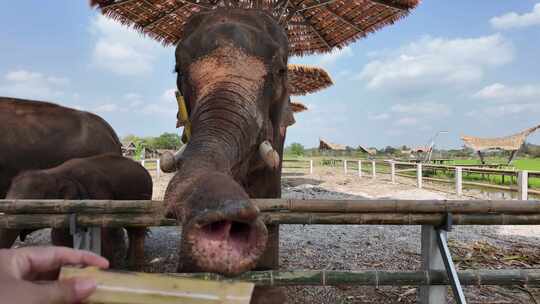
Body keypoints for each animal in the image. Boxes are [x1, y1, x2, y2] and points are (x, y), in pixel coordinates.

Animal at [2, 154, 154, 268]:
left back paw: (135, 265)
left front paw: (107, 267)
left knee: (137, 229)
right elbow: (59, 235)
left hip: (143, 197)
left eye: (28, 208)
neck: (55, 173)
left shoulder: (98, 194)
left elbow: (102, 232)